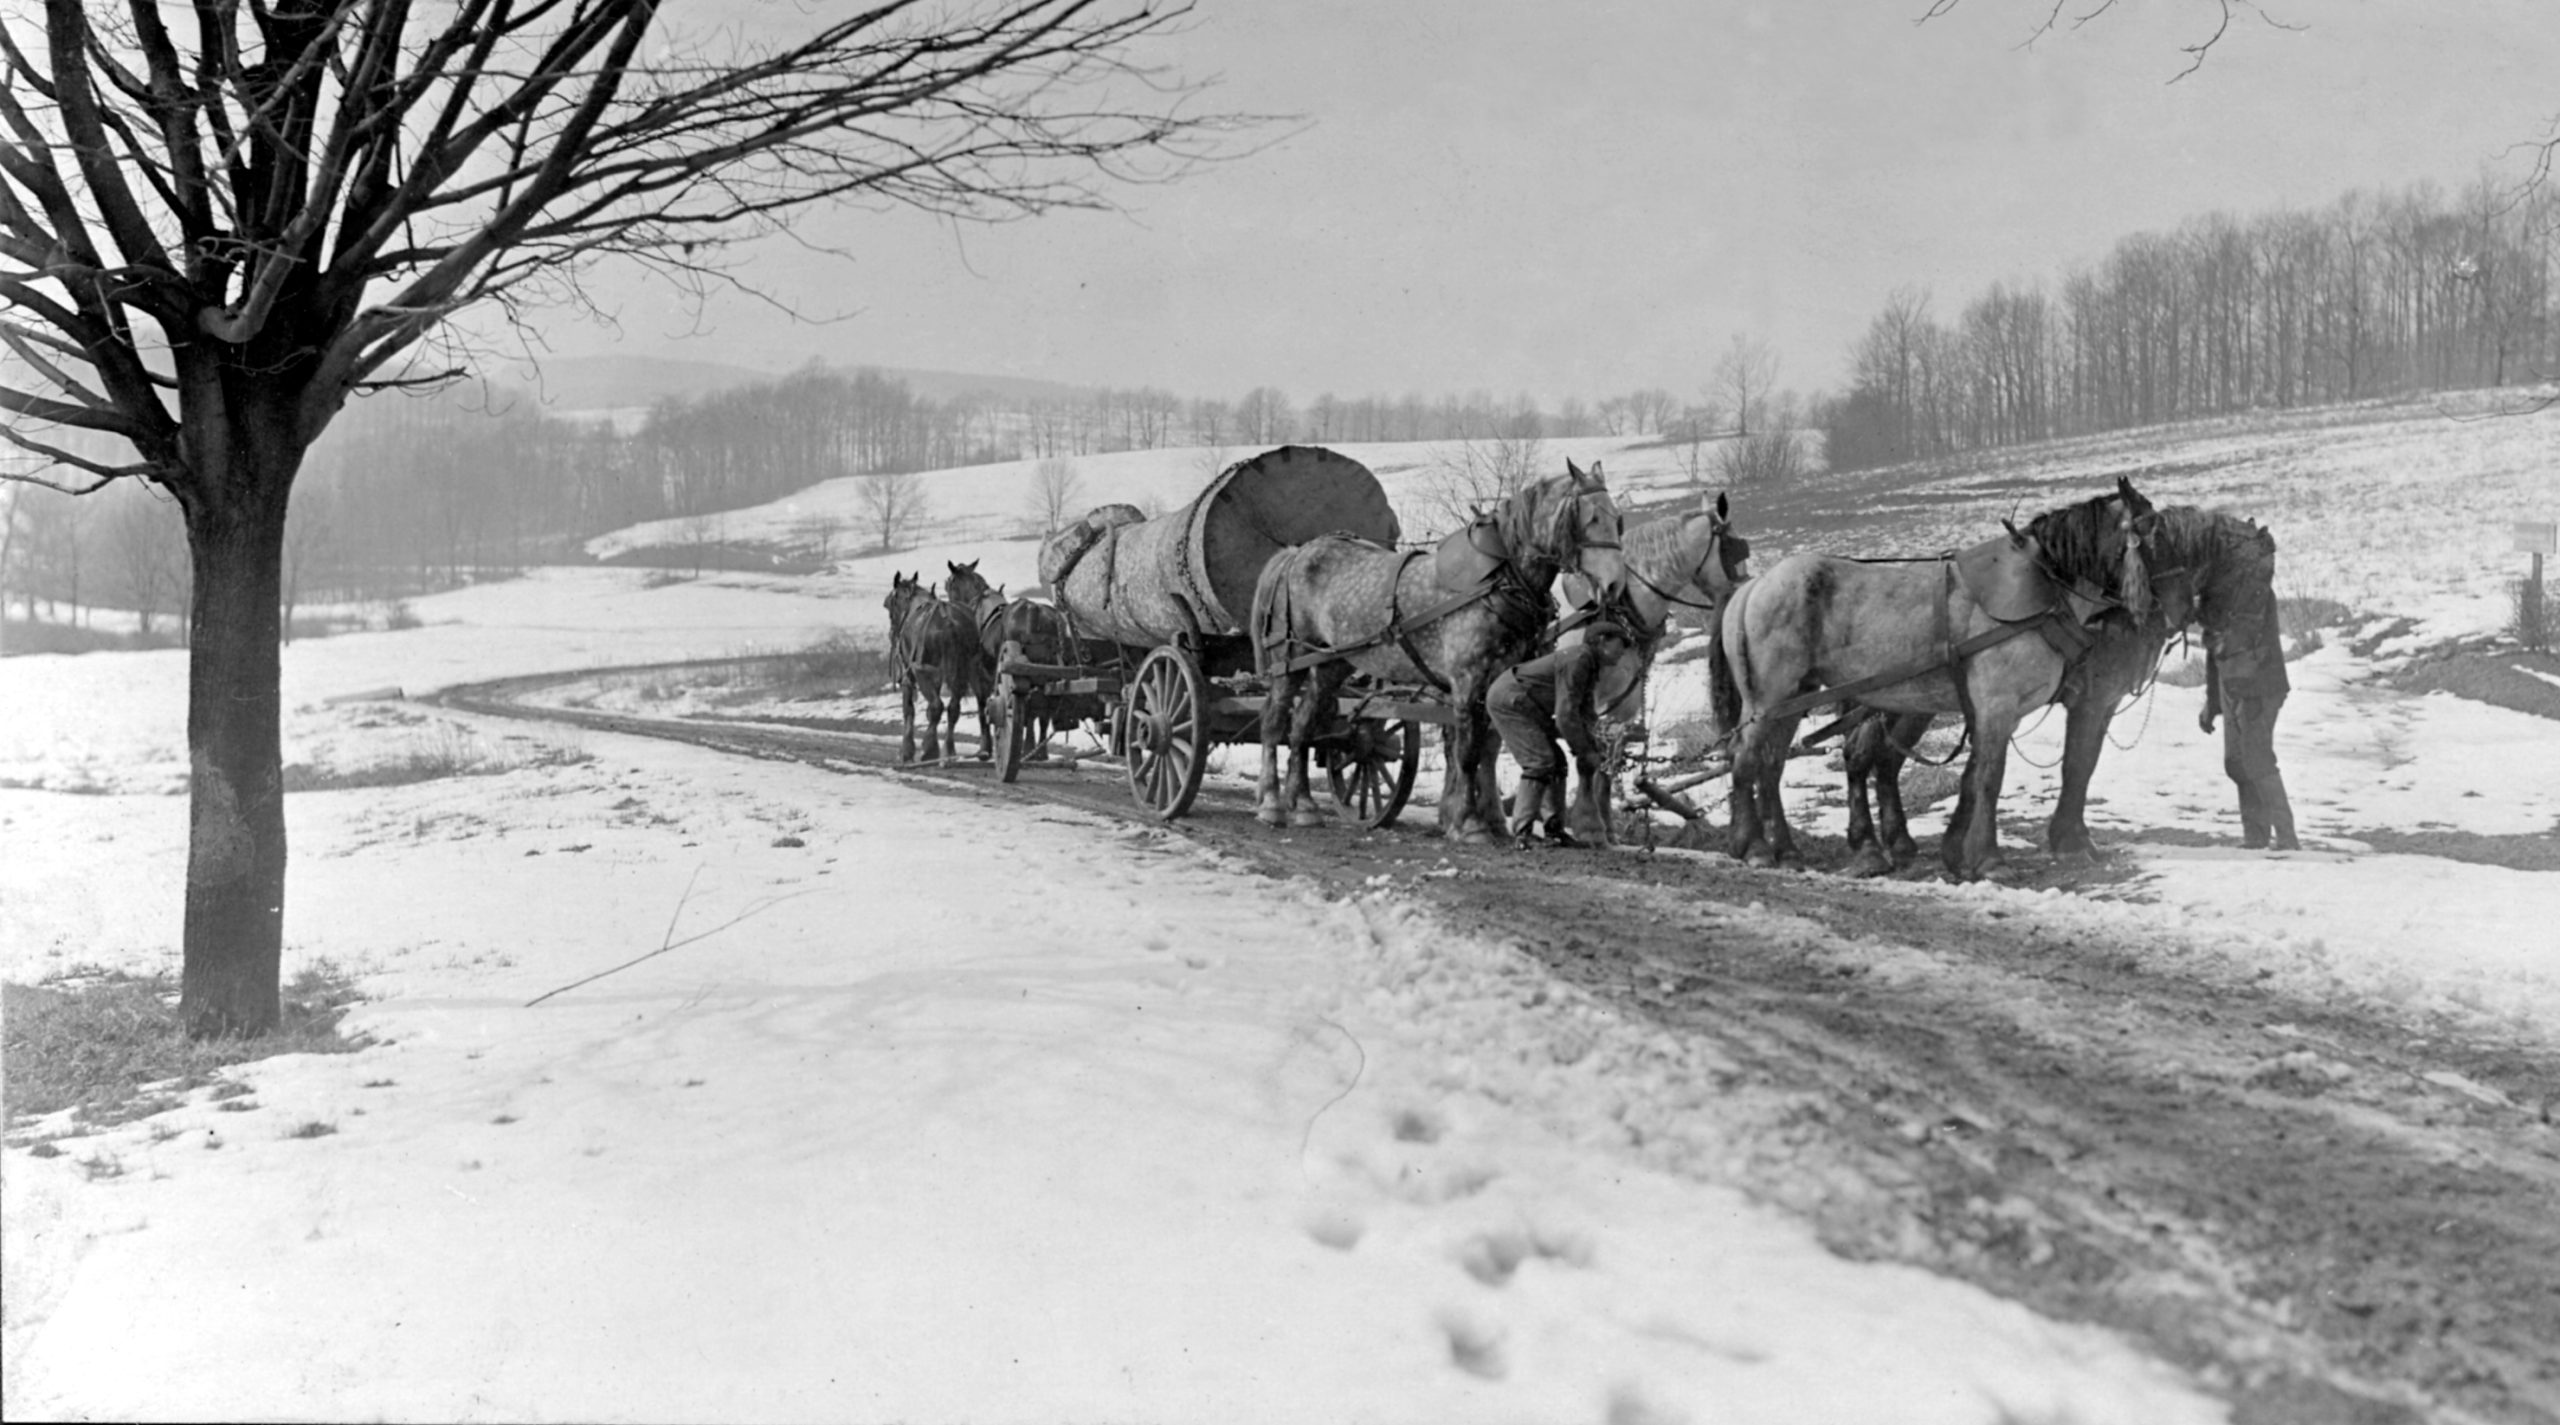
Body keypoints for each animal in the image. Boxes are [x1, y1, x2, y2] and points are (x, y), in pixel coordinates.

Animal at [885, 570, 993, 762]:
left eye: (891, 605)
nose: (892, 633)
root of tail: (949, 622)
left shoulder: (910, 675)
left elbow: (909, 710)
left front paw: (907, 751)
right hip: (969, 669)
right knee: (970, 705)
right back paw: (970, 749)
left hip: (925, 672)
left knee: (937, 706)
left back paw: (930, 750)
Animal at [1249, 455, 1628, 839]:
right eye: (1590, 518)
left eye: (1617, 519)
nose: (1615, 584)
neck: (1499, 579)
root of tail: (1296, 553)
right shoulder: (1467, 680)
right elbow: (1468, 752)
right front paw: (1469, 823)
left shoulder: (1498, 679)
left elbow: (1487, 747)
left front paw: (1480, 819)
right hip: (1290, 659)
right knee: (1274, 724)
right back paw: (1272, 804)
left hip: (1331, 662)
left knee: (1302, 726)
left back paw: (1304, 806)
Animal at [1710, 478, 2150, 880]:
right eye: (2149, 535)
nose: (2149, 611)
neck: (2044, 588)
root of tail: (1753, 586)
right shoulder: (1998, 706)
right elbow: (1990, 778)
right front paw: (1989, 860)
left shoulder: (1996, 712)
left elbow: (1975, 776)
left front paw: (1960, 855)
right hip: (1767, 700)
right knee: (1745, 758)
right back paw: (1755, 847)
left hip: (1794, 700)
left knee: (1772, 767)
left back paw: (1787, 851)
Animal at [1832, 506, 2273, 869]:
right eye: (2259, 576)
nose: (2249, 638)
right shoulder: (2092, 701)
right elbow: (2078, 765)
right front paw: (2071, 842)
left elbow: (2072, 765)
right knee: (1861, 755)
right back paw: (1868, 847)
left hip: (1912, 702)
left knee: (1885, 759)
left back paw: (1898, 843)